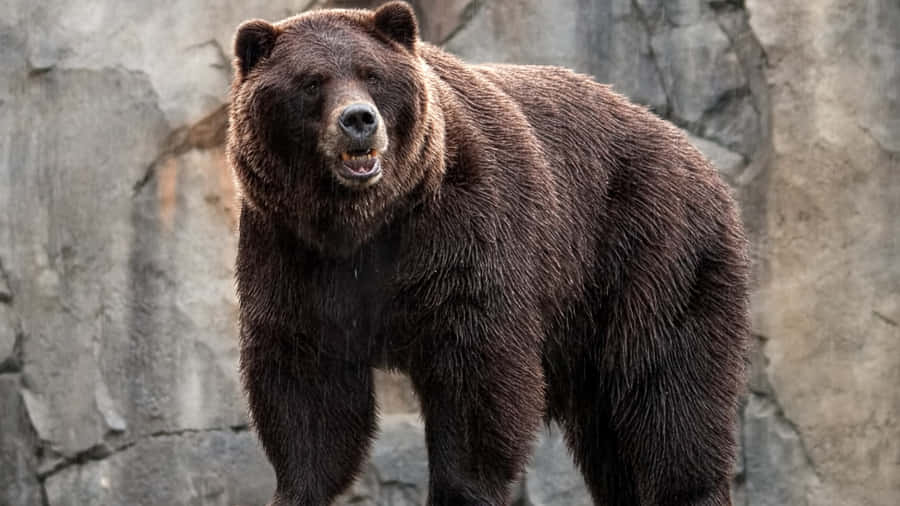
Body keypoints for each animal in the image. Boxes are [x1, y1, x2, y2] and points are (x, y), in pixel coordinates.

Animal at [227, 2, 750, 505]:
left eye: (371, 73)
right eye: (312, 81)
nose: (359, 120)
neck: (366, 223)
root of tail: (696, 156)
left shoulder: (463, 235)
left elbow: (477, 375)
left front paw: (461, 491)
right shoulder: (293, 254)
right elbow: (307, 385)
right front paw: (296, 489)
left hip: (651, 251)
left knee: (669, 393)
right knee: (610, 438)